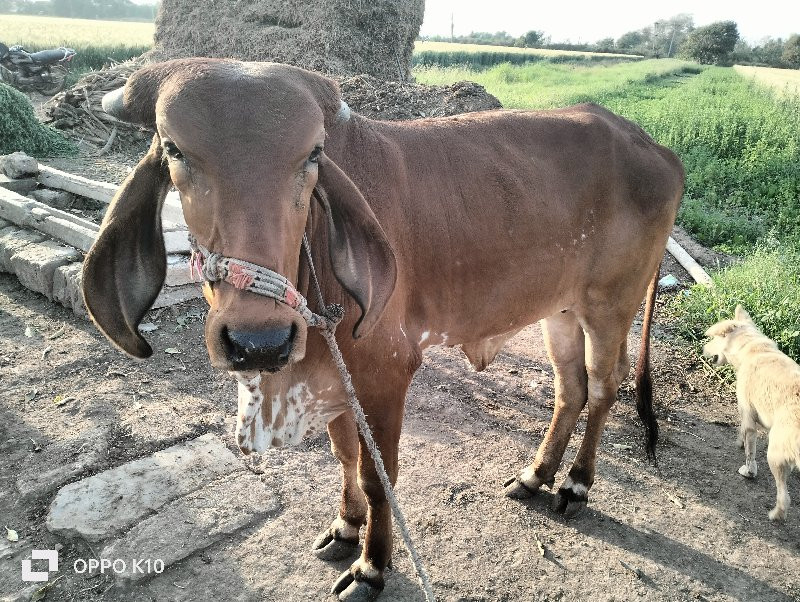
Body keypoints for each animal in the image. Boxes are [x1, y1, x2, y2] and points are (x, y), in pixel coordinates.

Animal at [79, 59, 680, 596]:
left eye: (313, 155)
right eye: (174, 150)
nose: (258, 341)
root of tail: (656, 148)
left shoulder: (387, 375)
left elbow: (377, 477)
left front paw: (372, 566)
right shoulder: (337, 378)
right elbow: (345, 455)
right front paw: (345, 528)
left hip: (609, 306)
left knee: (602, 387)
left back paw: (576, 484)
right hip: (560, 311)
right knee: (570, 389)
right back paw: (536, 476)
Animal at [708, 308, 800, 516]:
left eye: (714, 339)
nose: (703, 348)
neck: (751, 347)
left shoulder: (748, 415)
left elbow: (750, 451)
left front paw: (748, 471)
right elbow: (741, 431)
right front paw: (739, 442)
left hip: (774, 455)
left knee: (784, 497)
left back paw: (775, 514)